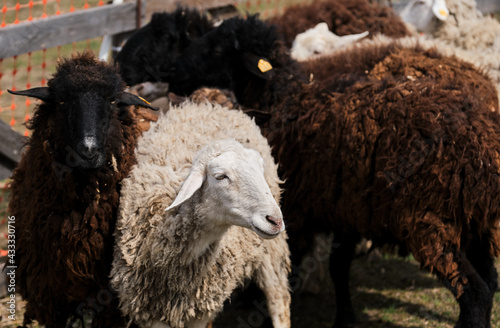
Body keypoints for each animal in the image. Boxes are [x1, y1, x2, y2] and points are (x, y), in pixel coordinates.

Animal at [109, 101, 290, 326]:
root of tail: (212, 107)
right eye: (220, 176)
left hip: (272, 249)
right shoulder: (148, 312)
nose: (275, 220)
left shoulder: (201, 312)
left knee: (279, 300)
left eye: (260, 170)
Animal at [167, 16, 500, 328]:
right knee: (490, 282)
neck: (280, 100)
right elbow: (339, 266)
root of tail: (483, 145)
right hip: (474, 226)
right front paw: (345, 317)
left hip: (429, 224)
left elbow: (292, 265)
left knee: (475, 293)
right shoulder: (347, 207)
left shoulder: (299, 208)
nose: (173, 74)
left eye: (216, 49)